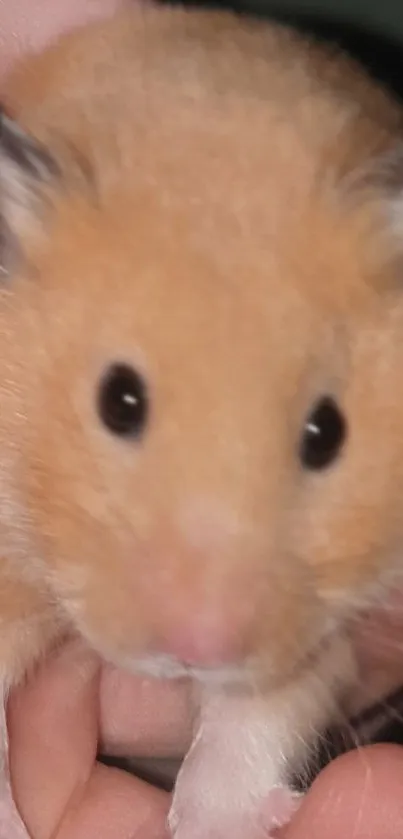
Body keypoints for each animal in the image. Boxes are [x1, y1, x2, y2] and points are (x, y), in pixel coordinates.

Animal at [1, 3, 403, 836]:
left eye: (326, 432)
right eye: (118, 400)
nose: (198, 648)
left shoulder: (326, 618)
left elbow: (254, 720)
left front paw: (215, 819)